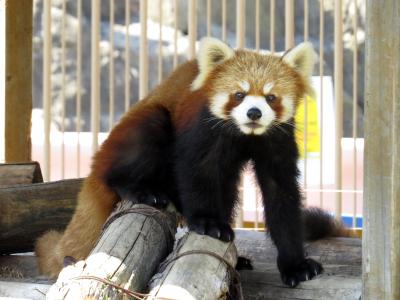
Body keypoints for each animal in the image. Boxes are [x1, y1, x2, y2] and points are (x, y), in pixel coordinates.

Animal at [36, 38, 350, 288]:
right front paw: (209, 223)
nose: (254, 112)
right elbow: (197, 172)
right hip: (134, 133)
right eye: (239, 94)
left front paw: (295, 264)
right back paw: (139, 189)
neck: (244, 134)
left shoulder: (277, 140)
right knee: (146, 133)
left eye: (271, 98)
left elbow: (281, 194)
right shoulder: (201, 127)